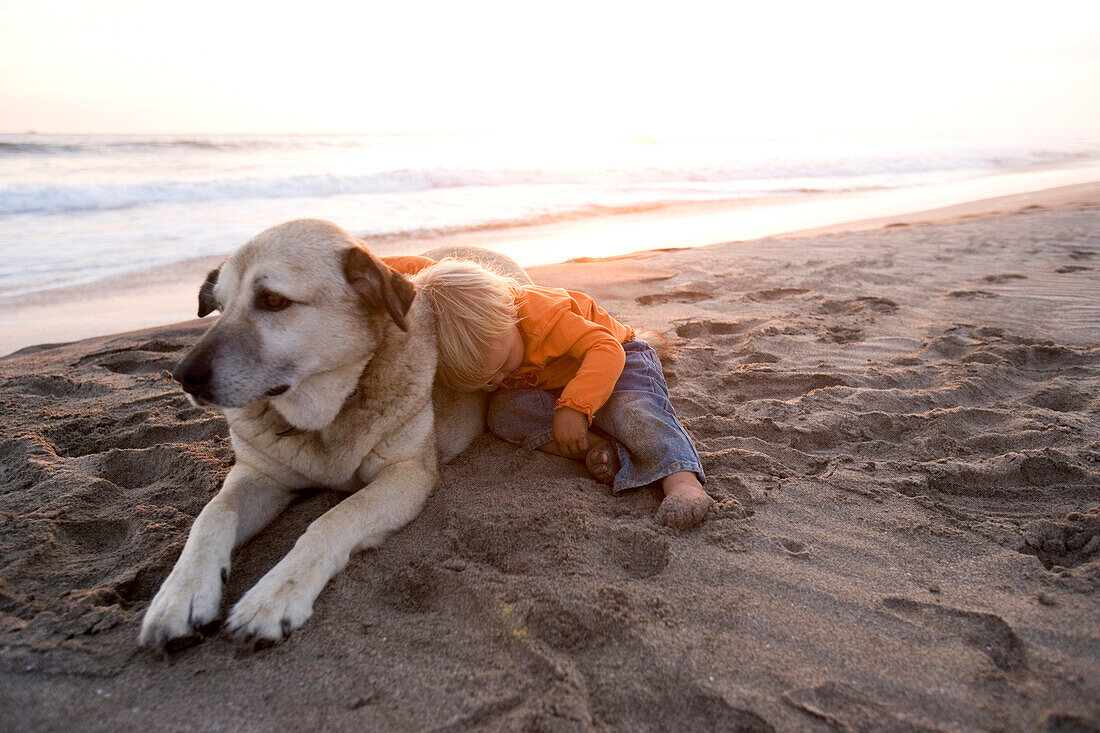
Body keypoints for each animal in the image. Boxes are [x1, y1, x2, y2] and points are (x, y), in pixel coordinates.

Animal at [137, 220, 523, 647]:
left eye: (273, 300)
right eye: (219, 307)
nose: (183, 376)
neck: (323, 417)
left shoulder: (406, 474)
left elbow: (334, 518)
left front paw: (273, 596)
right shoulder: (260, 475)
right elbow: (212, 515)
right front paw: (180, 595)